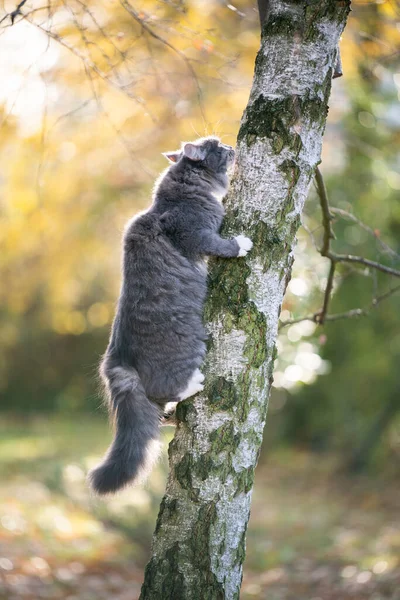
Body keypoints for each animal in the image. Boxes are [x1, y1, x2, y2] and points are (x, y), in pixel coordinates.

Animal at [90, 137, 253, 496]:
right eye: (218, 146)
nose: (232, 146)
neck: (178, 192)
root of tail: (117, 360)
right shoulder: (195, 232)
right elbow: (222, 245)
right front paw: (241, 244)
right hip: (185, 351)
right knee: (165, 391)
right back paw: (193, 383)